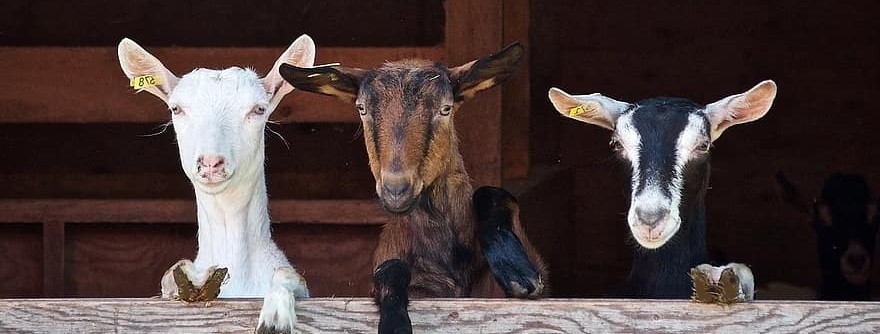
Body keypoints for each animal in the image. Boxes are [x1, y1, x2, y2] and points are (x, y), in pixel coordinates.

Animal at [117, 34, 312, 334]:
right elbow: (170, 277)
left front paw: (276, 315)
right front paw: (190, 278)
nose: (210, 162)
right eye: (176, 108)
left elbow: (287, 274)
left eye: (259, 109)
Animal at [280, 43, 544, 332]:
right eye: (362, 108)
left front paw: (517, 271)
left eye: (445, 109)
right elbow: (390, 269)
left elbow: (494, 194)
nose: (396, 190)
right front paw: (394, 323)